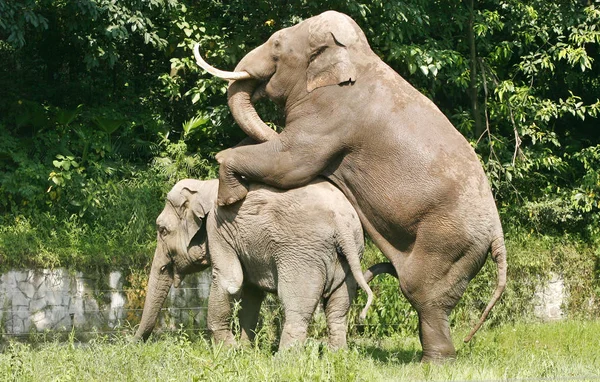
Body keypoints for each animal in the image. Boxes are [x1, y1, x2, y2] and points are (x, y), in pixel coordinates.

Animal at [195, 8, 508, 362]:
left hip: (446, 242)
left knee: (424, 295)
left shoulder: (332, 114)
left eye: (276, 44)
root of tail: (498, 234)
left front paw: (229, 196)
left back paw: (433, 364)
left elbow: (291, 162)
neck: (358, 55)